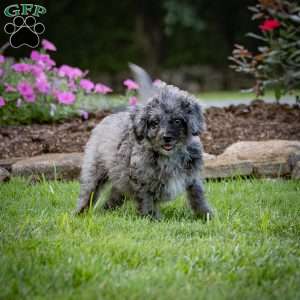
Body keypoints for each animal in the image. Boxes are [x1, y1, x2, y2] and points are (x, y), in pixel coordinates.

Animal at [75, 65, 213, 220]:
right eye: (154, 123)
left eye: (177, 121)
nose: (166, 137)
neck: (170, 156)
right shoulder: (142, 179)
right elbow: (146, 200)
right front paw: (152, 219)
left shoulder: (193, 177)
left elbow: (197, 196)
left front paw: (206, 215)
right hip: (95, 171)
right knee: (89, 193)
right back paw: (80, 213)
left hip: (120, 176)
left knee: (114, 194)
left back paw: (107, 210)